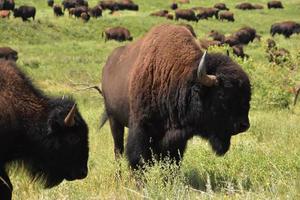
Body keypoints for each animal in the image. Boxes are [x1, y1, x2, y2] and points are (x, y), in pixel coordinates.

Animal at [100, 24, 251, 169]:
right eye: (222, 96)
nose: (244, 125)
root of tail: (107, 65)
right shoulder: (140, 129)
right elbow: (138, 161)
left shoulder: (176, 140)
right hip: (114, 120)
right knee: (118, 150)